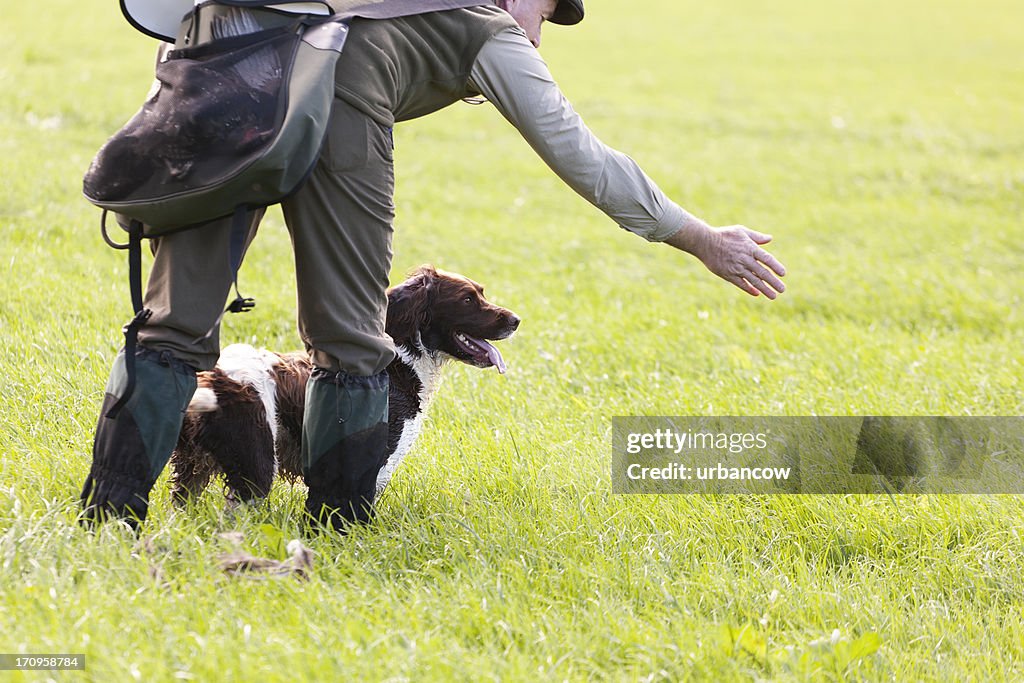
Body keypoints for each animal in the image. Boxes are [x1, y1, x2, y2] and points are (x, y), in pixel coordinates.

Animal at [171, 266, 520, 507]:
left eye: (481, 293)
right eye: (467, 299)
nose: (516, 320)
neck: (399, 363)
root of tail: (213, 380)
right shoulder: (375, 460)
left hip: (192, 469)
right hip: (256, 465)